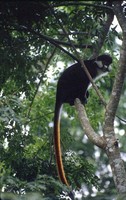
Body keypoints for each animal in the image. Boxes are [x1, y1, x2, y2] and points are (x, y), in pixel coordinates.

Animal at [53, 54, 112, 187]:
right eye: (106, 63)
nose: (108, 68)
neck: (95, 65)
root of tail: (59, 95)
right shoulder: (88, 71)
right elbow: (82, 83)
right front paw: (83, 97)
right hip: (69, 89)